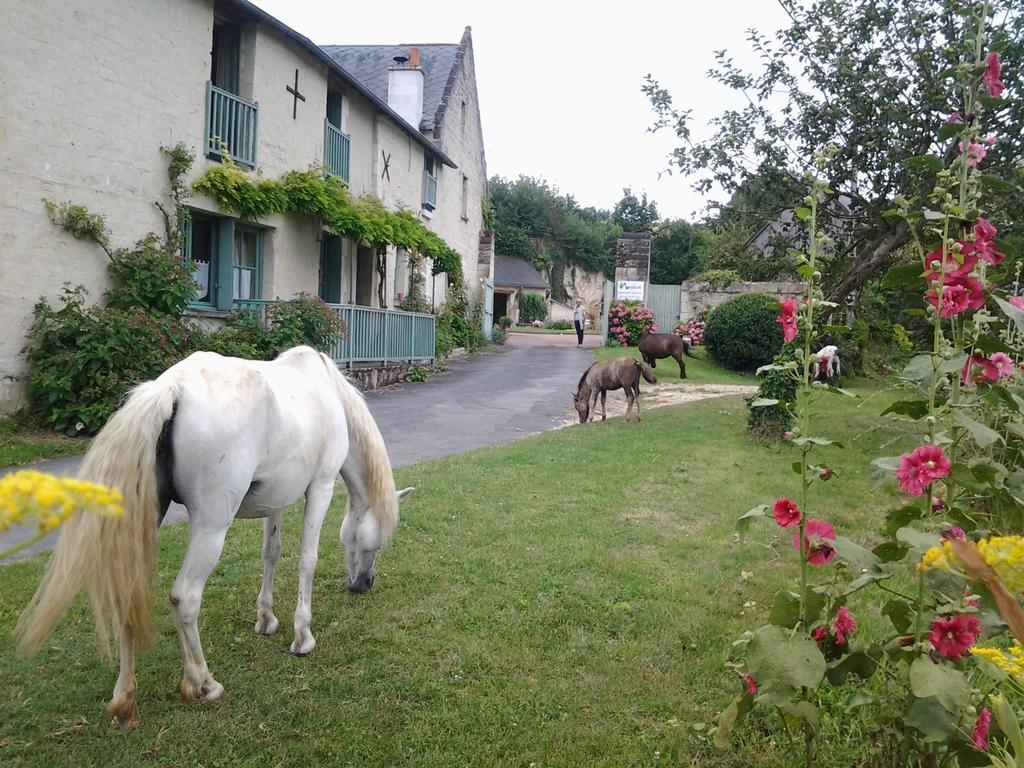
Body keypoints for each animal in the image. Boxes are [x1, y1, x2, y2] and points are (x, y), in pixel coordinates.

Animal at [14, 348, 411, 729]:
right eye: (376, 543)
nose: (363, 584)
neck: (326, 390)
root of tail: (171, 390)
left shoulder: (276, 500)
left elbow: (271, 553)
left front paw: (266, 620)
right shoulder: (322, 487)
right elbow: (307, 559)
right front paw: (303, 637)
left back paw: (125, 702)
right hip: (212, 527)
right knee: (185, 597)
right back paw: (203, 684)